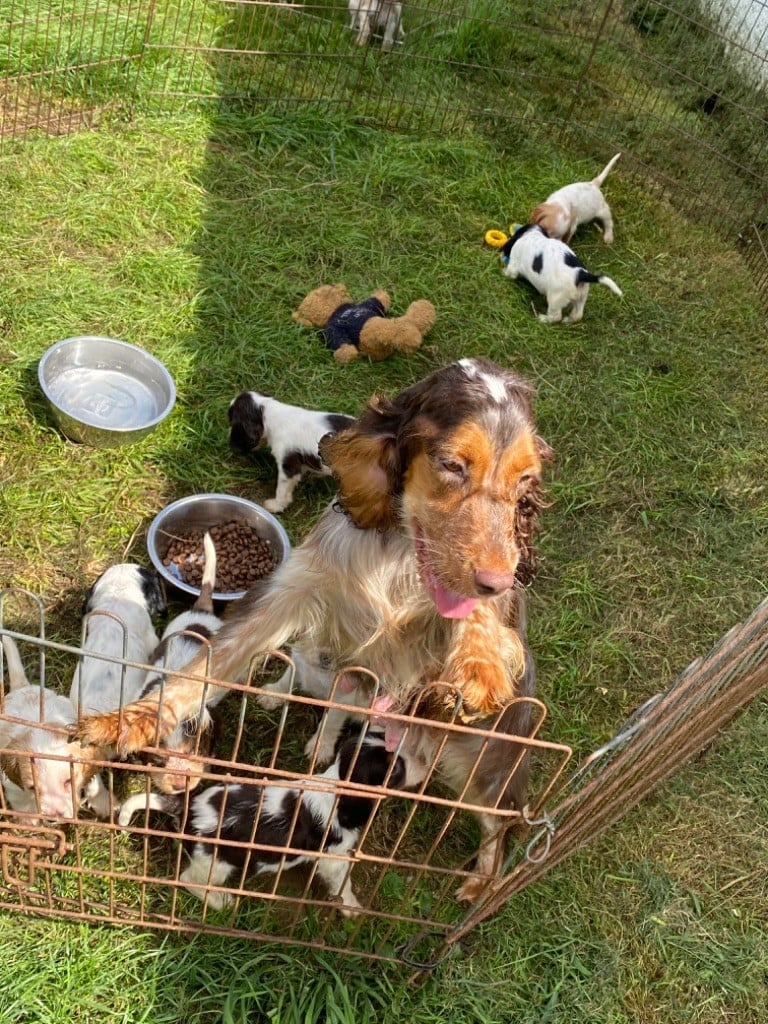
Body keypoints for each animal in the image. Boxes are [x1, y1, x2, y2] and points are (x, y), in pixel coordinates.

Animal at [1, 634, 111, 819]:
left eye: (69, 781)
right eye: (33, 788)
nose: (54, 816)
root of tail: (22, 687)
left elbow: (93, 776)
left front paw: (103, 802)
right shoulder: (11, 782)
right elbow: (21, 802)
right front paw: (28, 819)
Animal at [118, 724, 428, 917]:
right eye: (396, 769)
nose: (426, 763)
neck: (337, 785)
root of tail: (189, 807)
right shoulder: (334, 858)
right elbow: (343, 885)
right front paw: (351, 908)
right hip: (215, 863)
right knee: (189, 881)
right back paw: (223, 901)